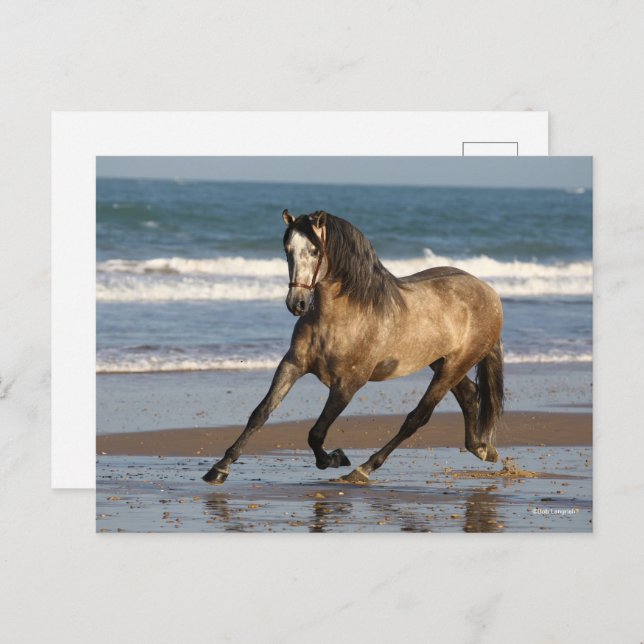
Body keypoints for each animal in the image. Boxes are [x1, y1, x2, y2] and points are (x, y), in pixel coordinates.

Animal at [203, 210, 504, 485]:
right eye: (287, 250)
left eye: (314, 251)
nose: (296, 303)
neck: (341, 317)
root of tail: (488, 292)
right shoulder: (292, 365)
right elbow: (260, 413)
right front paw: (219, 468)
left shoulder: (347, 385)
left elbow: (316, 433)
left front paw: (335, 458)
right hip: (441, 361)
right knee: (470, 394)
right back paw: (483, 449)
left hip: (454, 365)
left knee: (416, 418)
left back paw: (362, 469)